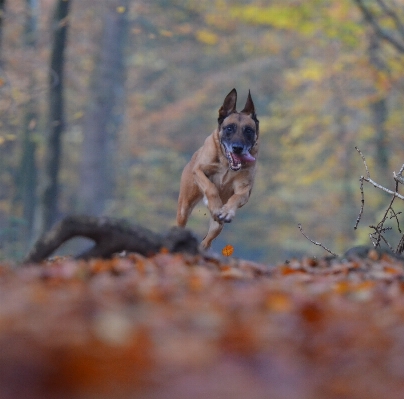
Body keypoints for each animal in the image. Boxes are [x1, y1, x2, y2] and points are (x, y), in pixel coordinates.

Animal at [176, 89, 258, 248]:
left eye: (248, 130)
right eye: (229, 128)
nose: (237, 148)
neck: (227, 164)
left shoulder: (244, 189)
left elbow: (237, 197)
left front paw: (227, 212)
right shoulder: (199, 171)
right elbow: (211, 187)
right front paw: (215, 205)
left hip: (217, 226)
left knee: (207, 241)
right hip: (184, 207)